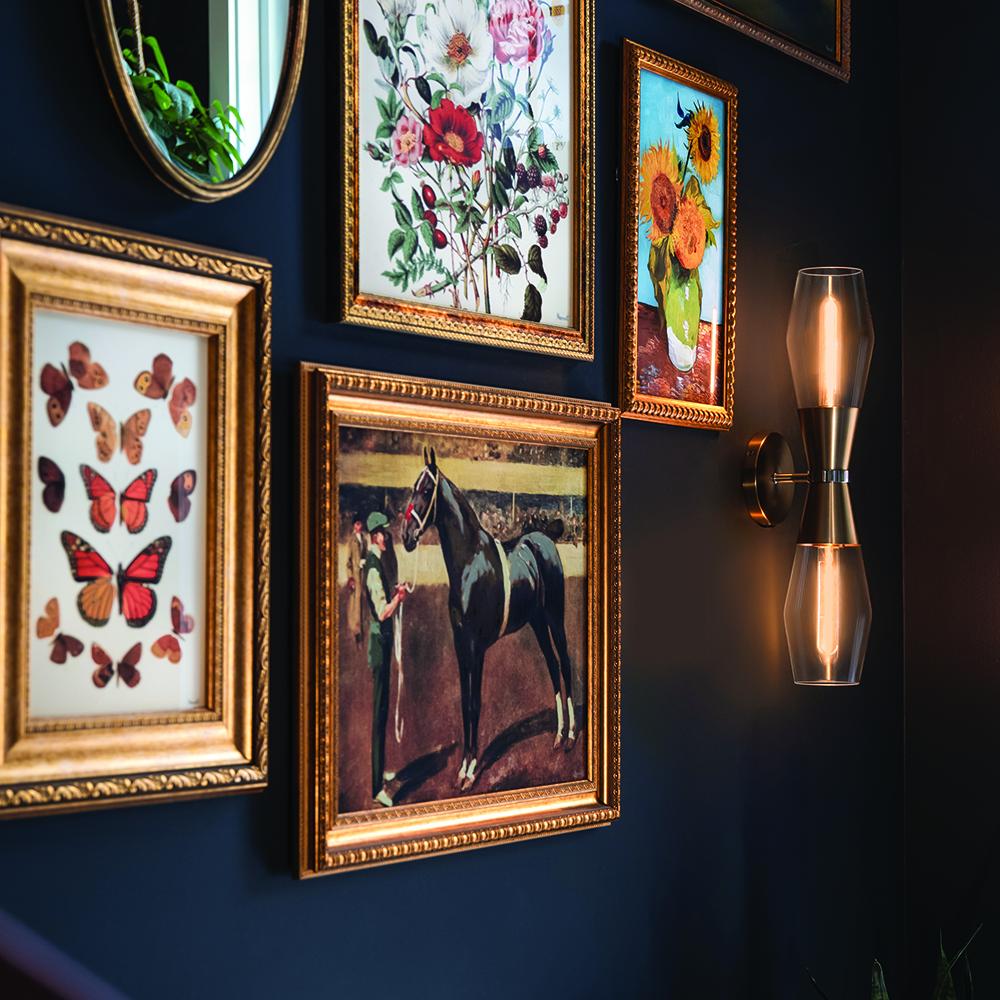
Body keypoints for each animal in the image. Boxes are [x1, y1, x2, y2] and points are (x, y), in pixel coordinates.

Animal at [401, 446, 576, 792]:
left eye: (426, 490)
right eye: (413, 487)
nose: (407, 536)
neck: (471, 564)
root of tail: (544, 537)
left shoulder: (476, 647)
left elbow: (475, 703)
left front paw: (470, 772)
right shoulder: (460, 646)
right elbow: (464, 703)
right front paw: (463, 768)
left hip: (554, 616)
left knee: (564, 662)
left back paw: (572, 735)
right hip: (537, 621)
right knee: (551, 664)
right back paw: (558, 735)